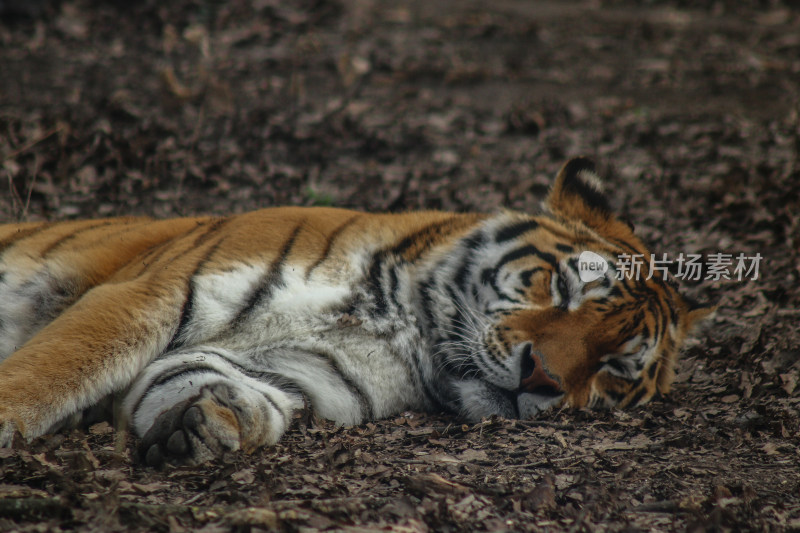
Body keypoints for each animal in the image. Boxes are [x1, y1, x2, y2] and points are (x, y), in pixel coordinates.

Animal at [0, 156, 712, 464]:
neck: (403, 330)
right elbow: (49, 373)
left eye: (612, 367)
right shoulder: (151, 293)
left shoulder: (308, 372)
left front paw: (209, 421)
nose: (542, 376)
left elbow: (202, 378)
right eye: (560, 289)